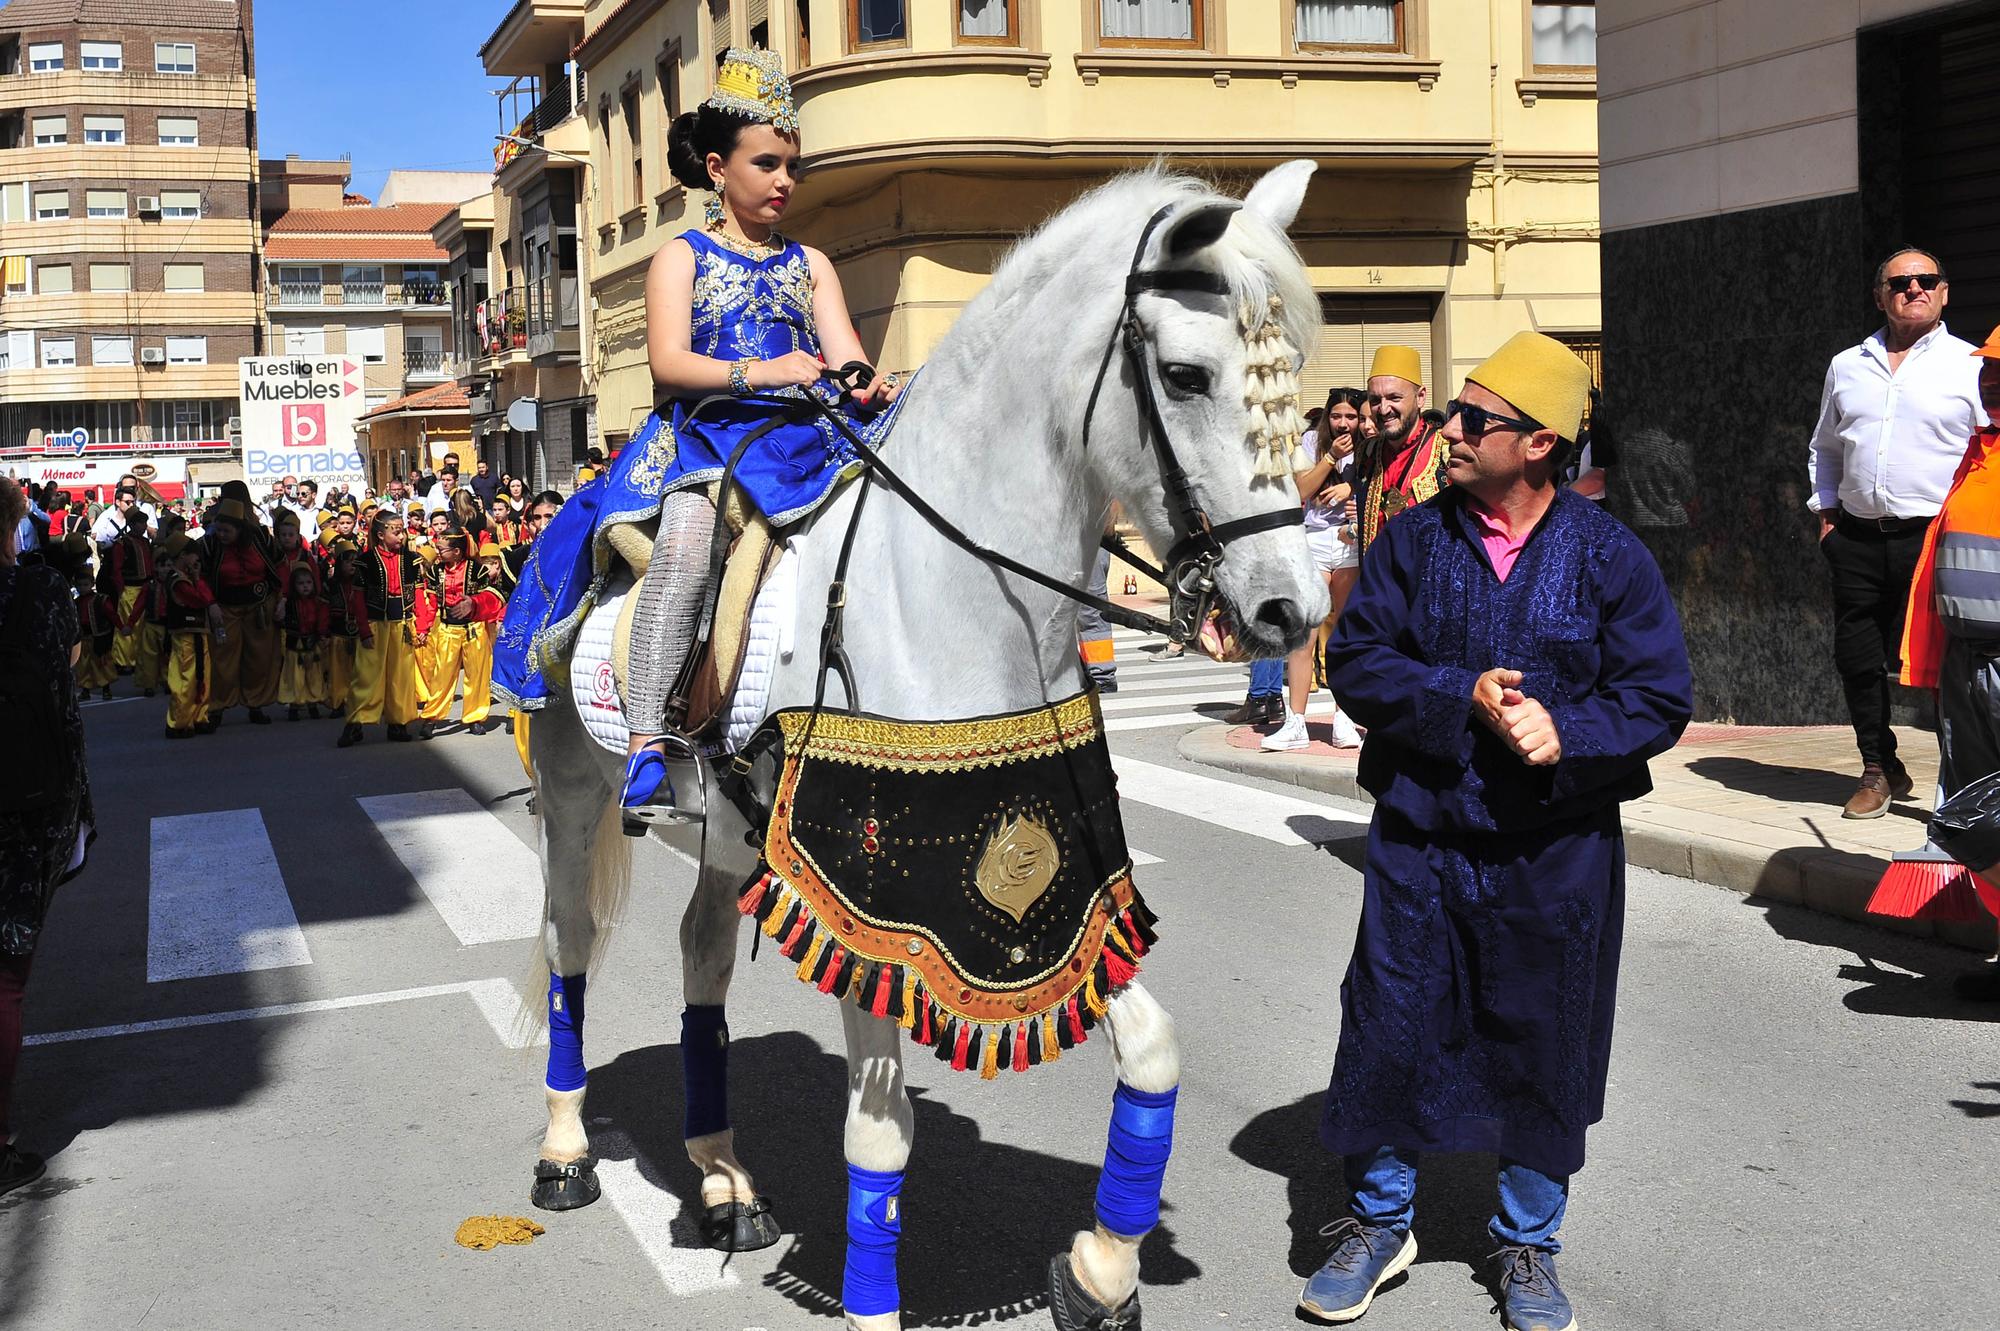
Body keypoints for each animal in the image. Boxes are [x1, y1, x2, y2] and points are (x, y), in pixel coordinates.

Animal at [520, 160, 1328, 1319]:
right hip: (572, 788)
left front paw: (1103, 1268)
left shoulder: (1056, 884)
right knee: (568, 946)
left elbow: (1152, 1054)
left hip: (724, 833)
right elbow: (879, 1135)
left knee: (701, 957)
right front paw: (873, 1303)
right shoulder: (866, 907)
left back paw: (722, 1178)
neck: (954, 594)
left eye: (1291, 368)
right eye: (1184, 374)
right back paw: (564, 1150)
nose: (1289, 610)